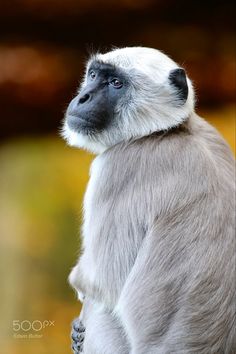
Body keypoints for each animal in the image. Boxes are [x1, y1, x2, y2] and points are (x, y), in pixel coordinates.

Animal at [61, 47, 235, 354]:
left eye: (116, 84)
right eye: (93, 75)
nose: (84, 97)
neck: (166, 132)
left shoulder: (118, 167)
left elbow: (100, 281)